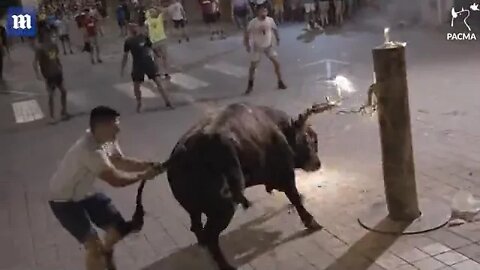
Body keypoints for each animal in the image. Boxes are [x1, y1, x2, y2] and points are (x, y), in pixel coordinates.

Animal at [129, 99, 336, 270]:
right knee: (211, 236)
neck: (278, 128)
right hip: (224, 209)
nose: (317, 163)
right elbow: (295, 198)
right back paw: (226, 266)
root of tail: (180, 155)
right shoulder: (286, 175)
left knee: (198, 229)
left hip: (194, 209)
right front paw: (311, 222)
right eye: (311, 140)